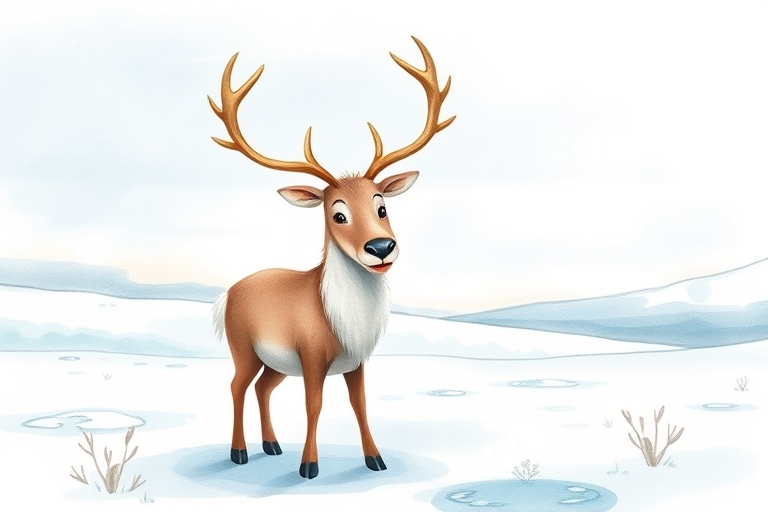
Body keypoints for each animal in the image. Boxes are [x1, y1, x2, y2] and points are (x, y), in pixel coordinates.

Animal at [208, 36, 454, 480]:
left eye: (382, 206)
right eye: (337, 213)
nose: (380, 248)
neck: (339, 318)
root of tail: (226, 295)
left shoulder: (356, 360)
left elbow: (359, 404)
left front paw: (375, 459)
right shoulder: (311, 354)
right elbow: (314, 405)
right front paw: (309, 466)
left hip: (274, 362)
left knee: (262, 387)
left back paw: (272, 445)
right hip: (243, 347)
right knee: (237, 385)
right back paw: (239, 452)